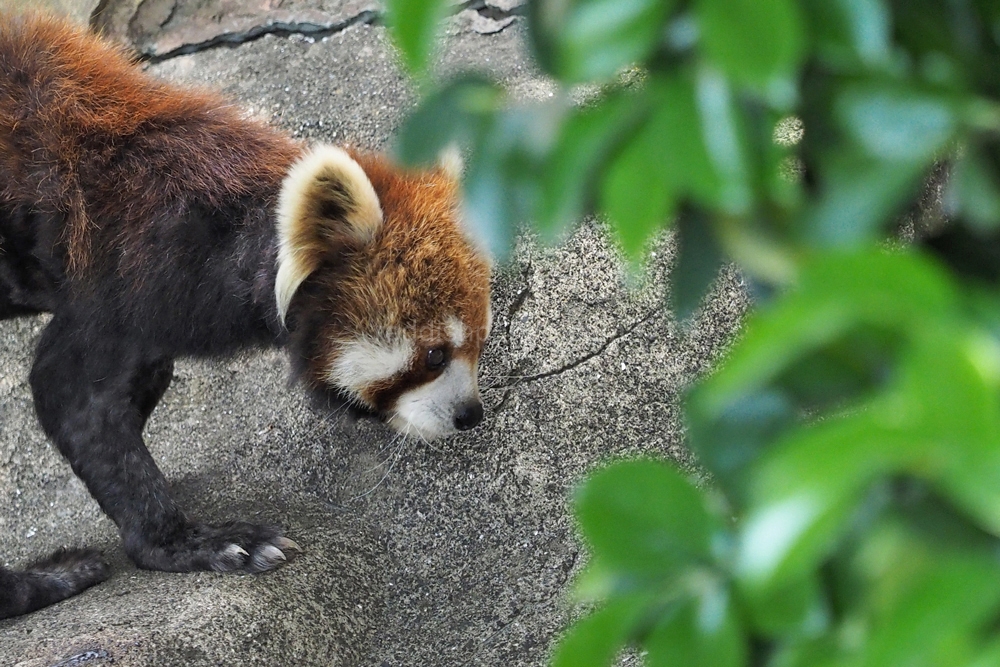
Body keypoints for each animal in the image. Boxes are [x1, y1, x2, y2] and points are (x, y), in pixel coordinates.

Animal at [0, 14, 492, 620]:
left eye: (480, 341)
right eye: (434, 355)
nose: (469, 414)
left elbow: (141, 380)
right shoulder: (110, 278)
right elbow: (73, 397)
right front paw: (185, 540)